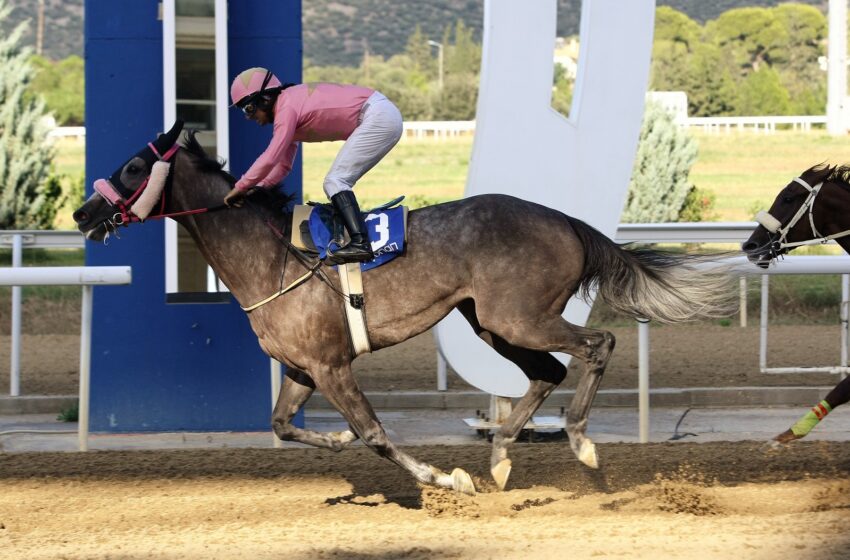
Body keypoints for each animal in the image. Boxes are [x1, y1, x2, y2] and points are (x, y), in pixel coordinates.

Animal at [73, 122, 732, 494]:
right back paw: (500, 458)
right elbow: (283, 424)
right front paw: (337, 441)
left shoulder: (333, 365)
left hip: (519, 316)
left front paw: (446, 478)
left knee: (597, 344)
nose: (82, 213)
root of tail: (566, 220)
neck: (272, 256)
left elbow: (375, 434)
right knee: (547, 371)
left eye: (133, 167)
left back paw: (578, 442)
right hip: (492, 322)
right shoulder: (301, 367)